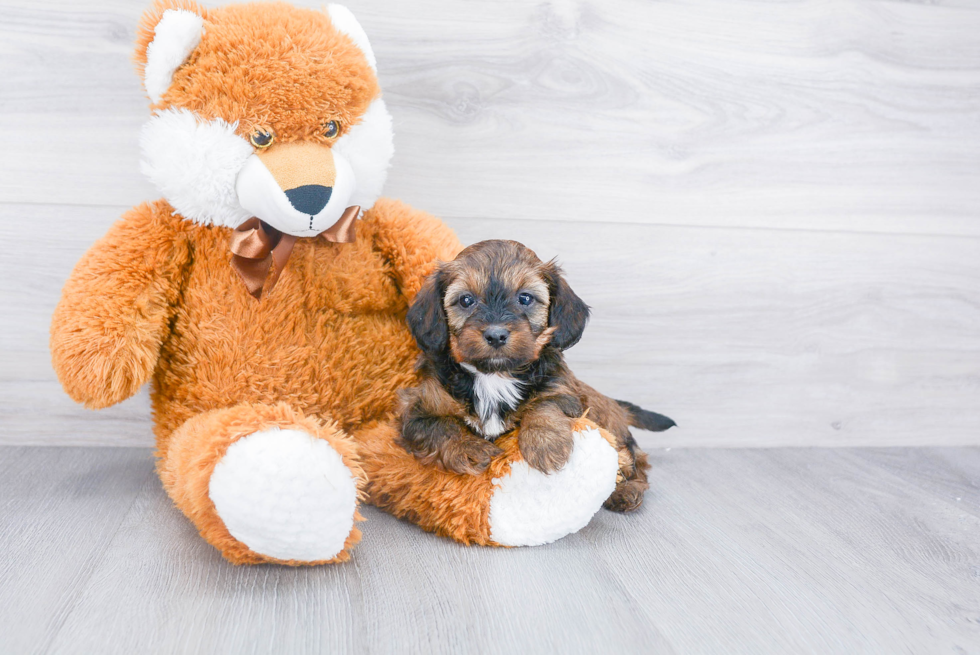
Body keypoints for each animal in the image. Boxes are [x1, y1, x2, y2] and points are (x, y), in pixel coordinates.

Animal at [398, 240, 672, 512]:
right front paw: (470, 448)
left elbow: (545, 405)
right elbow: (439, 425)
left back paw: (627, 490)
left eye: (525, 298)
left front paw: (545, 444)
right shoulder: (416, 408)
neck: (495, 376)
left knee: (634, 460)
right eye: (466, 300)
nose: (496, 335)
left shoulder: (562, 390)